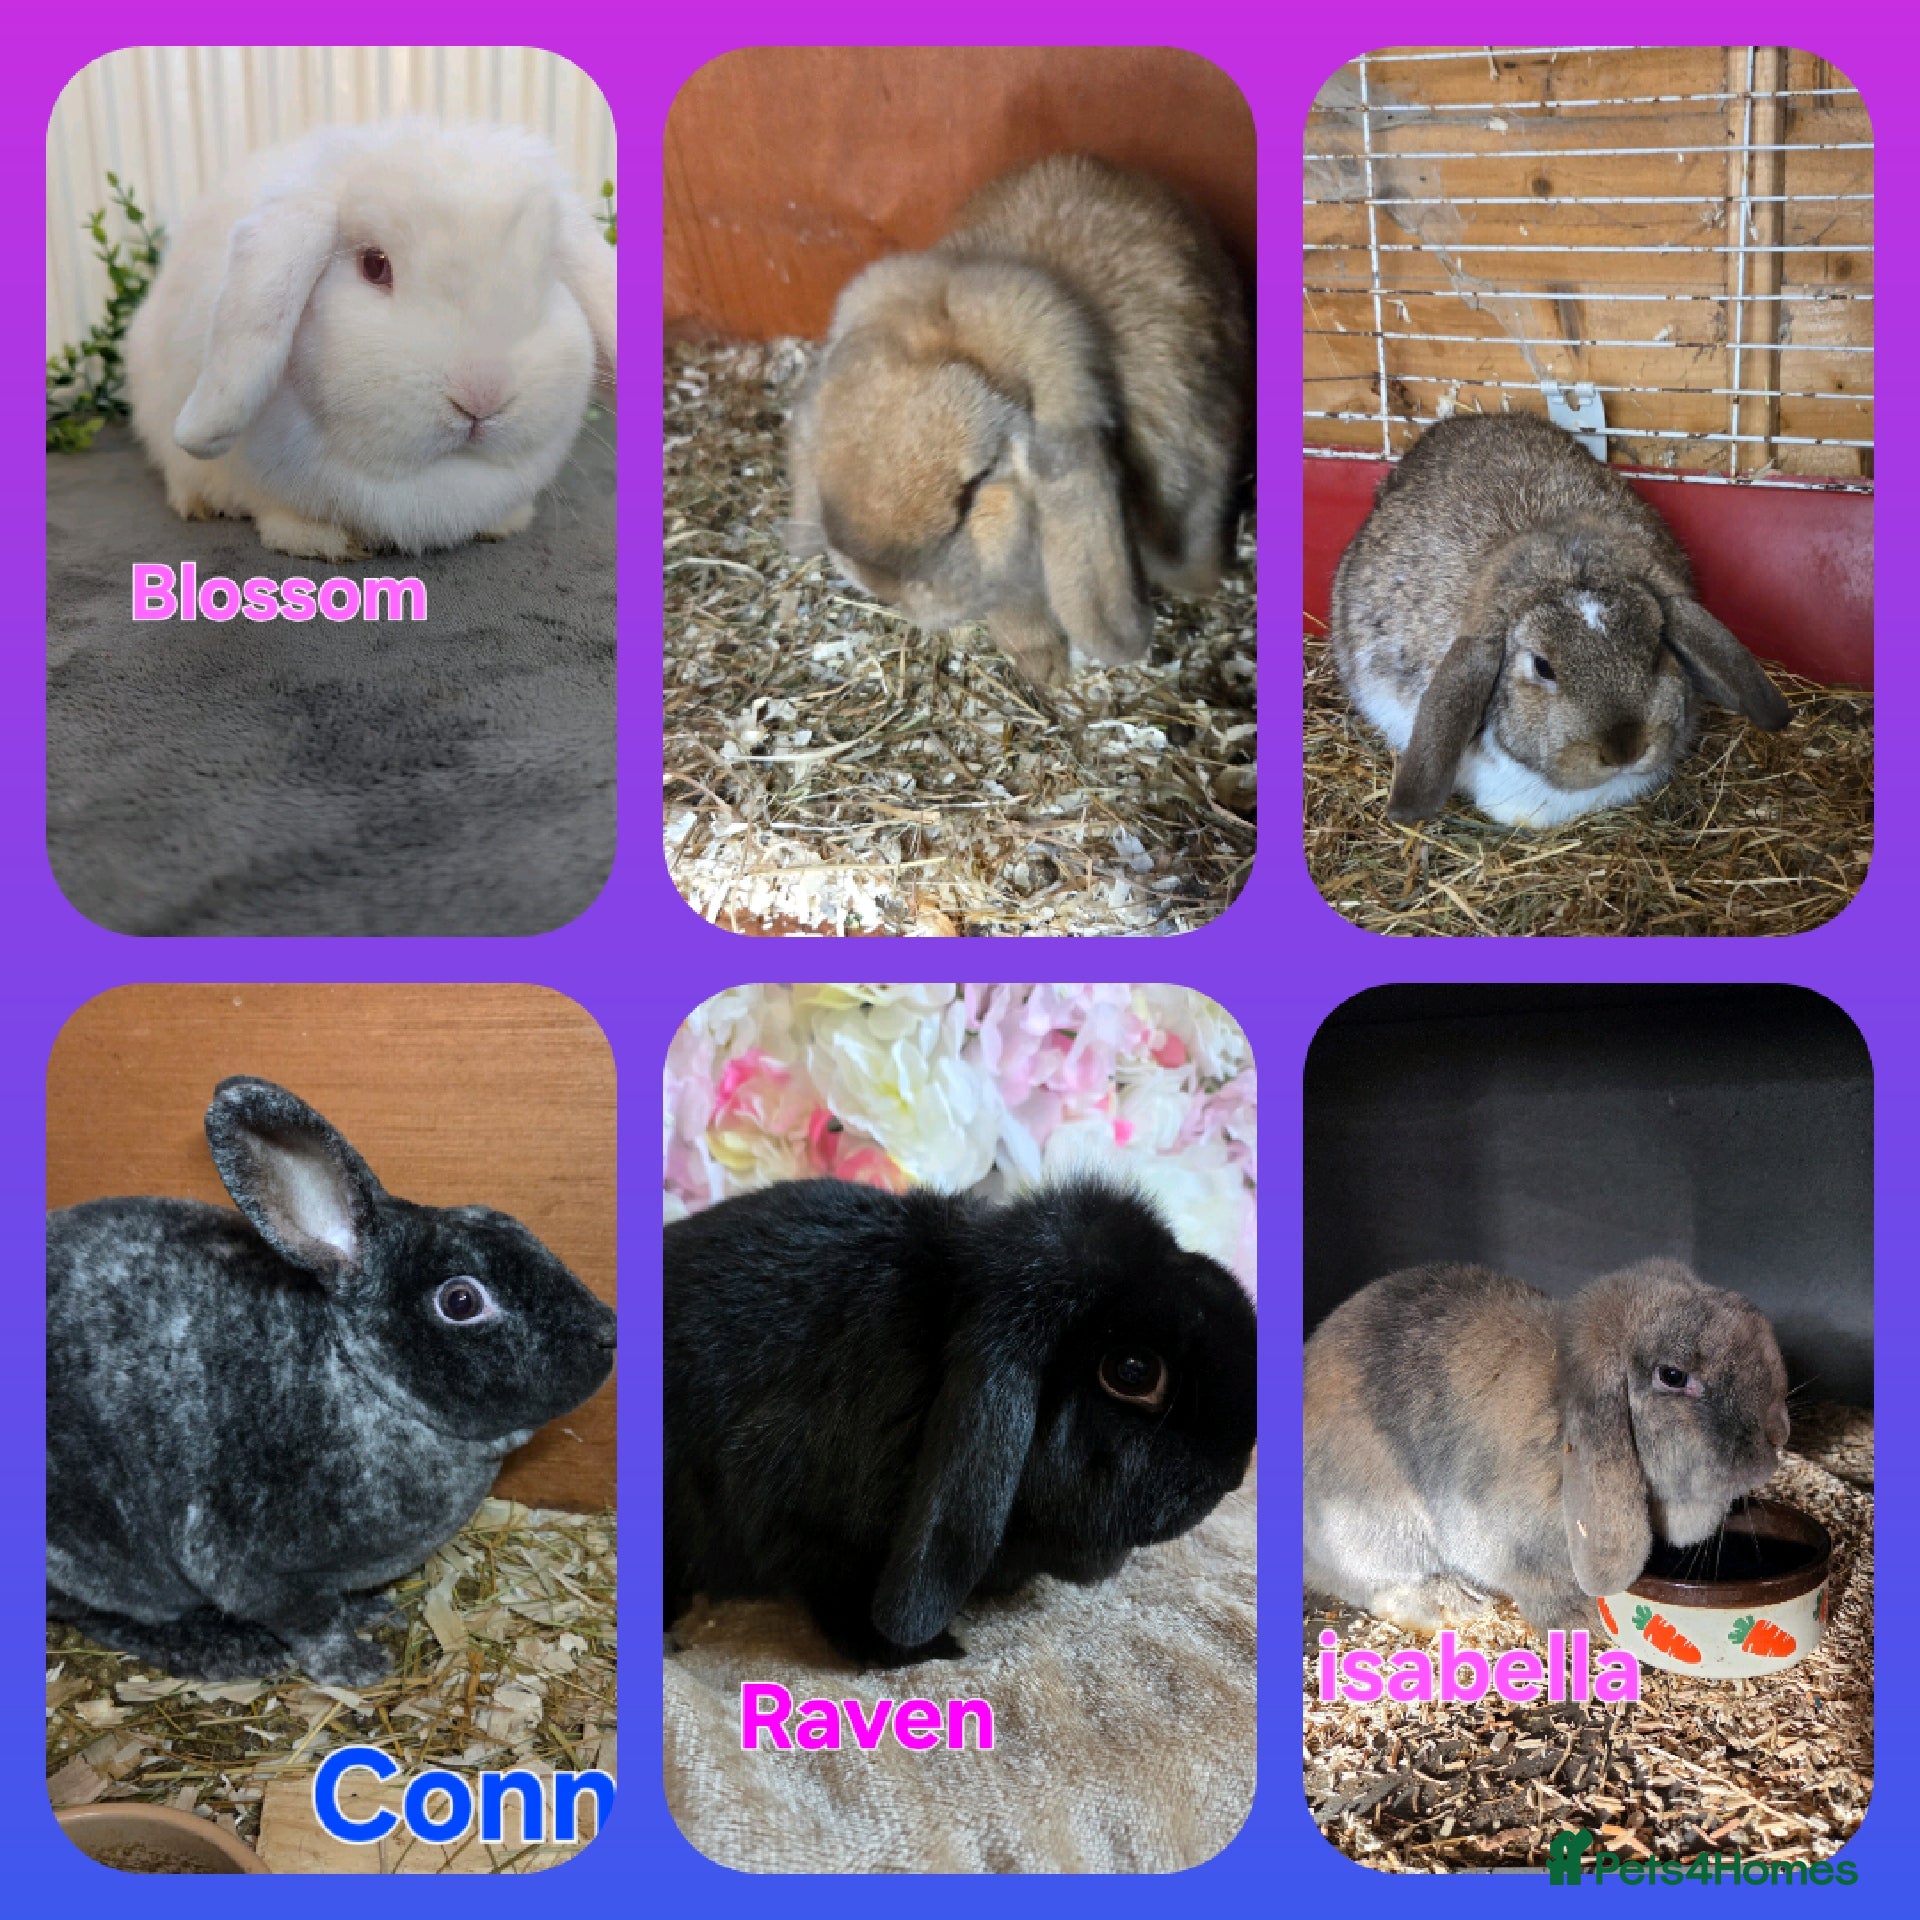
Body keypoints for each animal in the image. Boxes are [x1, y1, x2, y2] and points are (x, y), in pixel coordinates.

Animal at [46, 1077, 616, 1685]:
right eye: (461, 1301)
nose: (607, 1331)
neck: (362, 1381)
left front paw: (372, 1611)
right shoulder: (246, 1562)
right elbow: (311, 1622)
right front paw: (357, 1666)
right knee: (106, 1616)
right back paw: (224, 1650)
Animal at [125, 120, 616, 560]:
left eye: (547, 276)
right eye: (375, 266)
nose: (481, 397)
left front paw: (505, 524)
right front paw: (322, 542)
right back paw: (197, 504)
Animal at [1302, 1260, 1790, 1635]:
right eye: (1672, 1375)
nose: (1779, 1432)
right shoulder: (1508, 1544)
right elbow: (1541, 1586)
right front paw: (1585, 1621)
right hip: (1378, 1530)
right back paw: (1453, 1604)